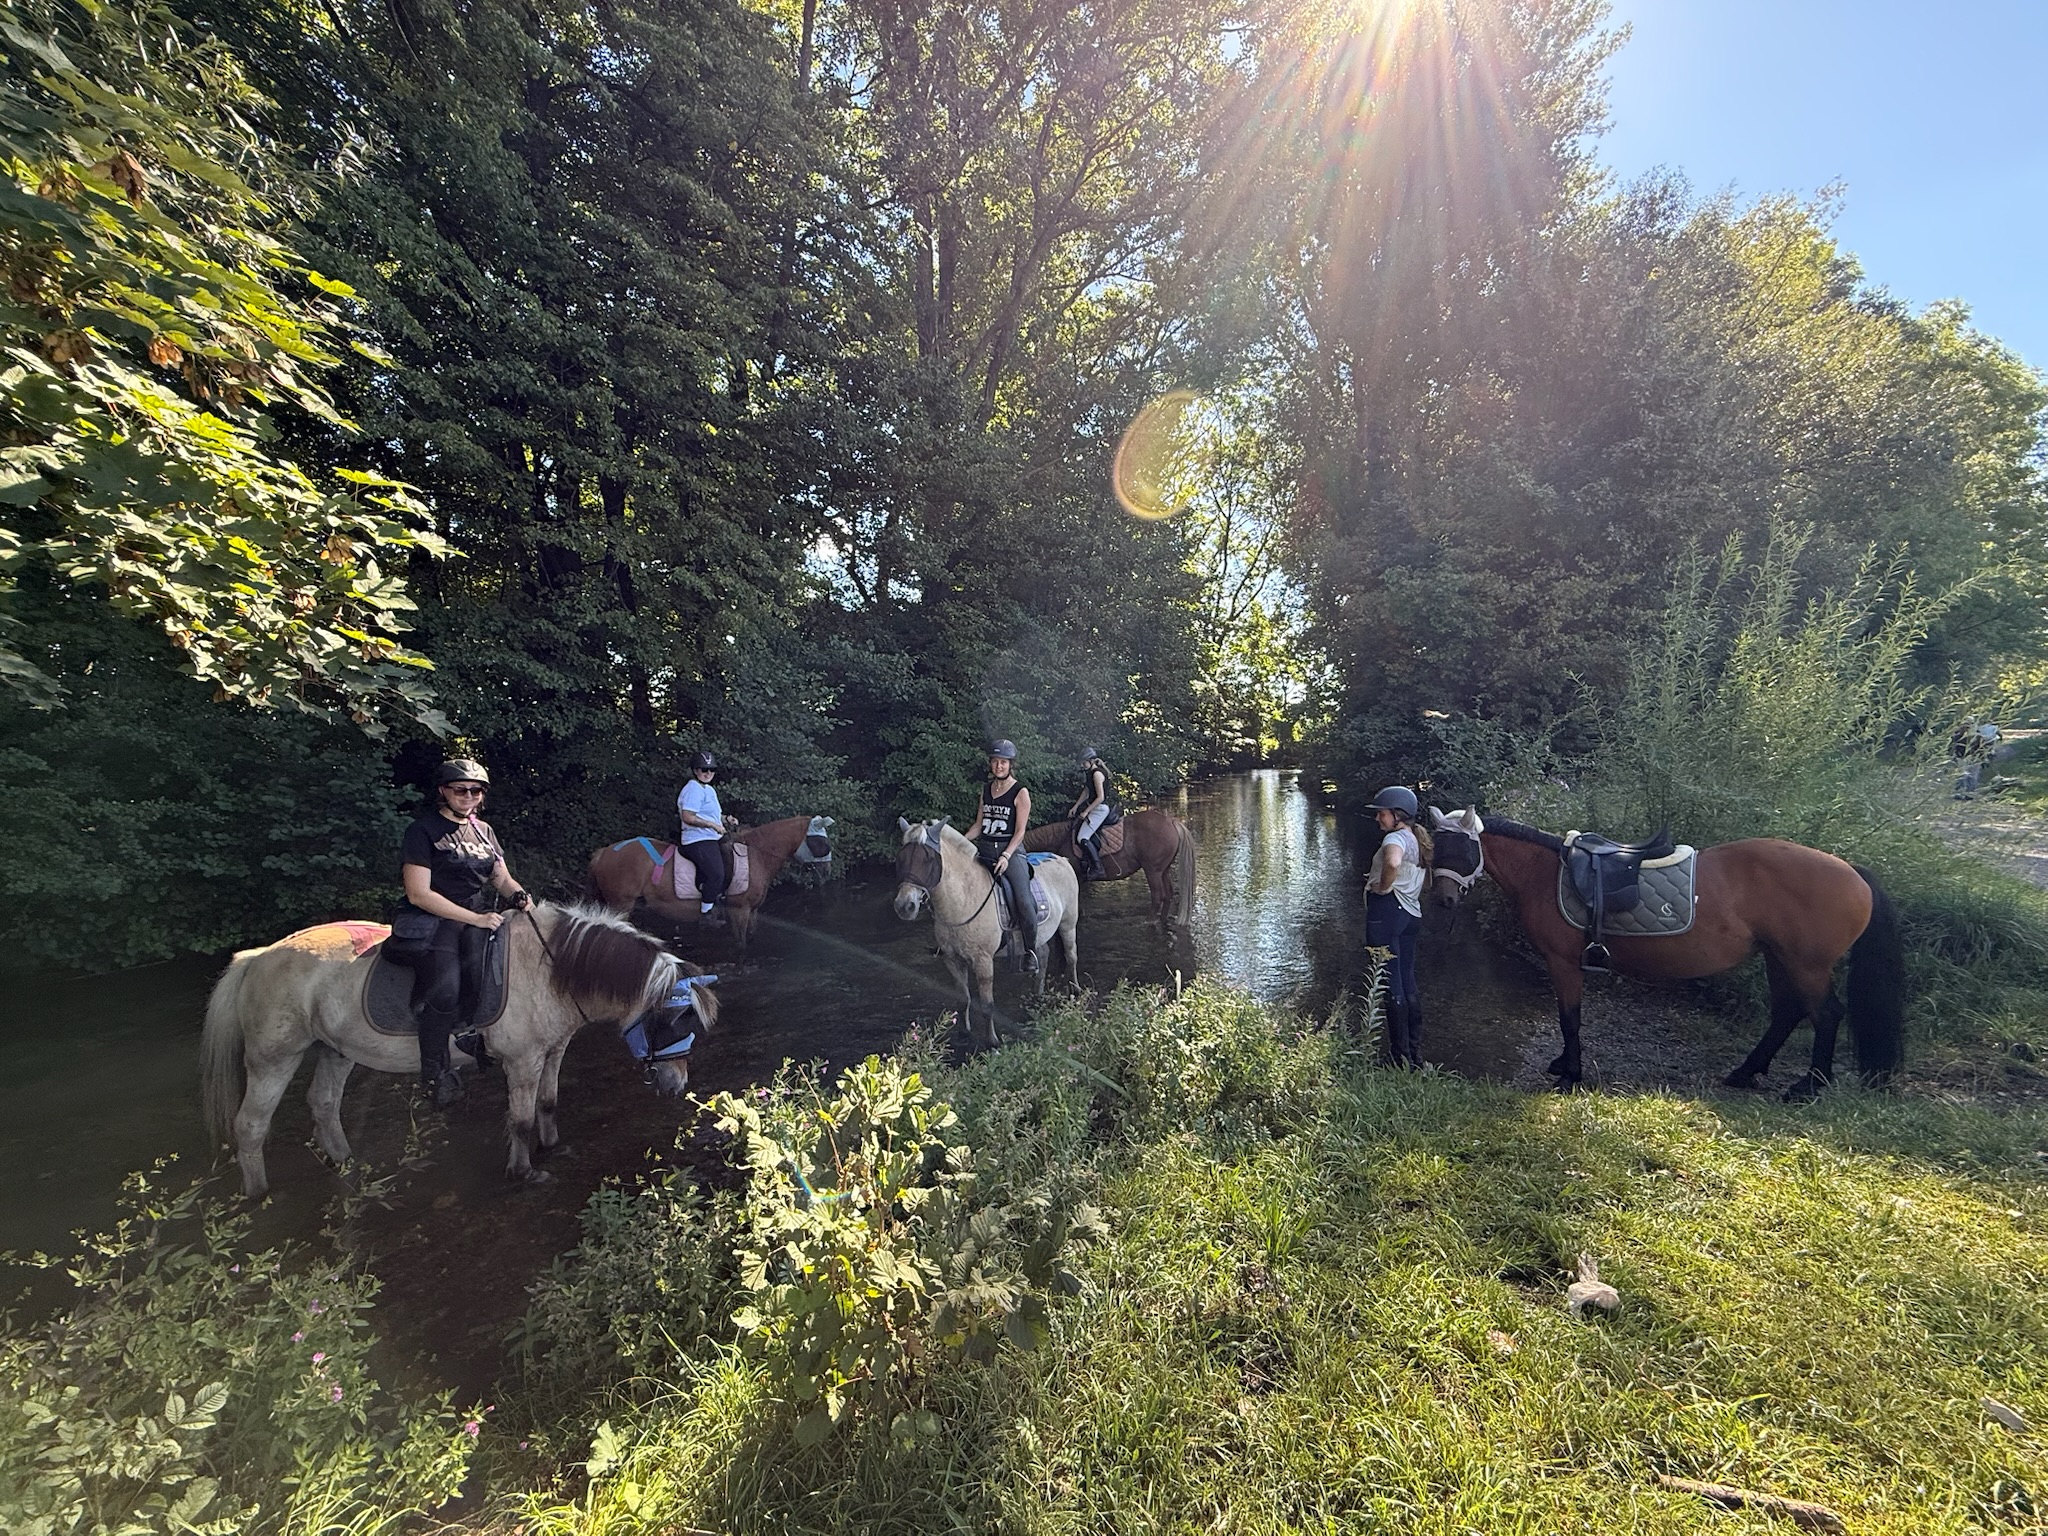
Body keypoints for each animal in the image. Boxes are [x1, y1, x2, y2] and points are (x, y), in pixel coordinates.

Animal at [199, 902, 718, 1197]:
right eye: (676, 1019)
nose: (678, 1084)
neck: (551, 968)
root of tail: (258, 957)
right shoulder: (523, 1061)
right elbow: (521, 1119)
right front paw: (523, 1172)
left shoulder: (553, 1050)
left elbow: (549, 1103)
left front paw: (552, 1147)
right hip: (274, 1058)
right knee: (251, 1125)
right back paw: (258, 1195)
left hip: (335, 1049)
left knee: (323, 1103)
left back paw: (346, 1162)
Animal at [587, 814, 835, 946]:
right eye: (821, 843)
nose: (827, 870)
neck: (756, 855)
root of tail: (604, 852)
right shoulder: (739, 909)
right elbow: (740, 945)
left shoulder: (753, 911)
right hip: (621, 903)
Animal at [892, 818, 1081, 1048]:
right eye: (901, 857)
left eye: (928, 859)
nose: (904, 906)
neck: (964, 899)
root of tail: (1061, 859)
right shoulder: (952, 960)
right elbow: (963, 999)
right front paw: (964, 1032)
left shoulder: (983, 961)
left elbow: (987, 1005)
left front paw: (992, 1042)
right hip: (1040, 936)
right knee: (1043, 956)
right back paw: (1037, 995)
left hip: (1068, 925)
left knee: (1071, 956)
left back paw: (1075, 992)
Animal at [1024, 808, 1197, 929]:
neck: (1060, 839)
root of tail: (1171, 821)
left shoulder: (1075, 878)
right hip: (1163, 870)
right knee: (1168, 894)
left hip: (1152, 871)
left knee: (1157, 896)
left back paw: (1149, 921)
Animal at [1426, 809, 1904, 1098]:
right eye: (1435, 848)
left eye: (1462, 848)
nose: (1444, 901)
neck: (1544, 873)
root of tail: (1852, 871)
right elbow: (1568, 1017)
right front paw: (1565, 1065)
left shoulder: (1563, 962)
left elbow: (1570, 1017)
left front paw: (1570, 1073)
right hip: (1779, 959)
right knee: (1788, 1014)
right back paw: (1745, 1073)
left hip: (1807, 965)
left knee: (1826, 1014)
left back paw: (1808, 1087)